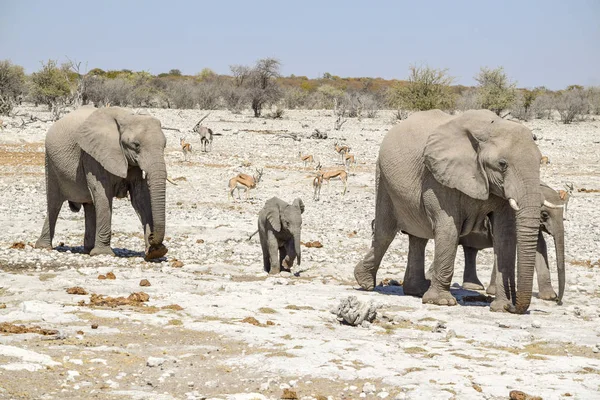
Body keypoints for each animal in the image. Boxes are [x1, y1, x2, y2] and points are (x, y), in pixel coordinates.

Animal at [354, 110, 548, 316]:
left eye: (540, 161)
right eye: (502, 164)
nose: (513, 306)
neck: (490, 128)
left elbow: (505, 235)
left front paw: (501, 307)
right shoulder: (438, 176)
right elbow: (448, 228)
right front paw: (441, 302)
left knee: (418, 237)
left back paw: (416, 290)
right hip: (383, 176)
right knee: (385, 233)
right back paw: (365, 283)